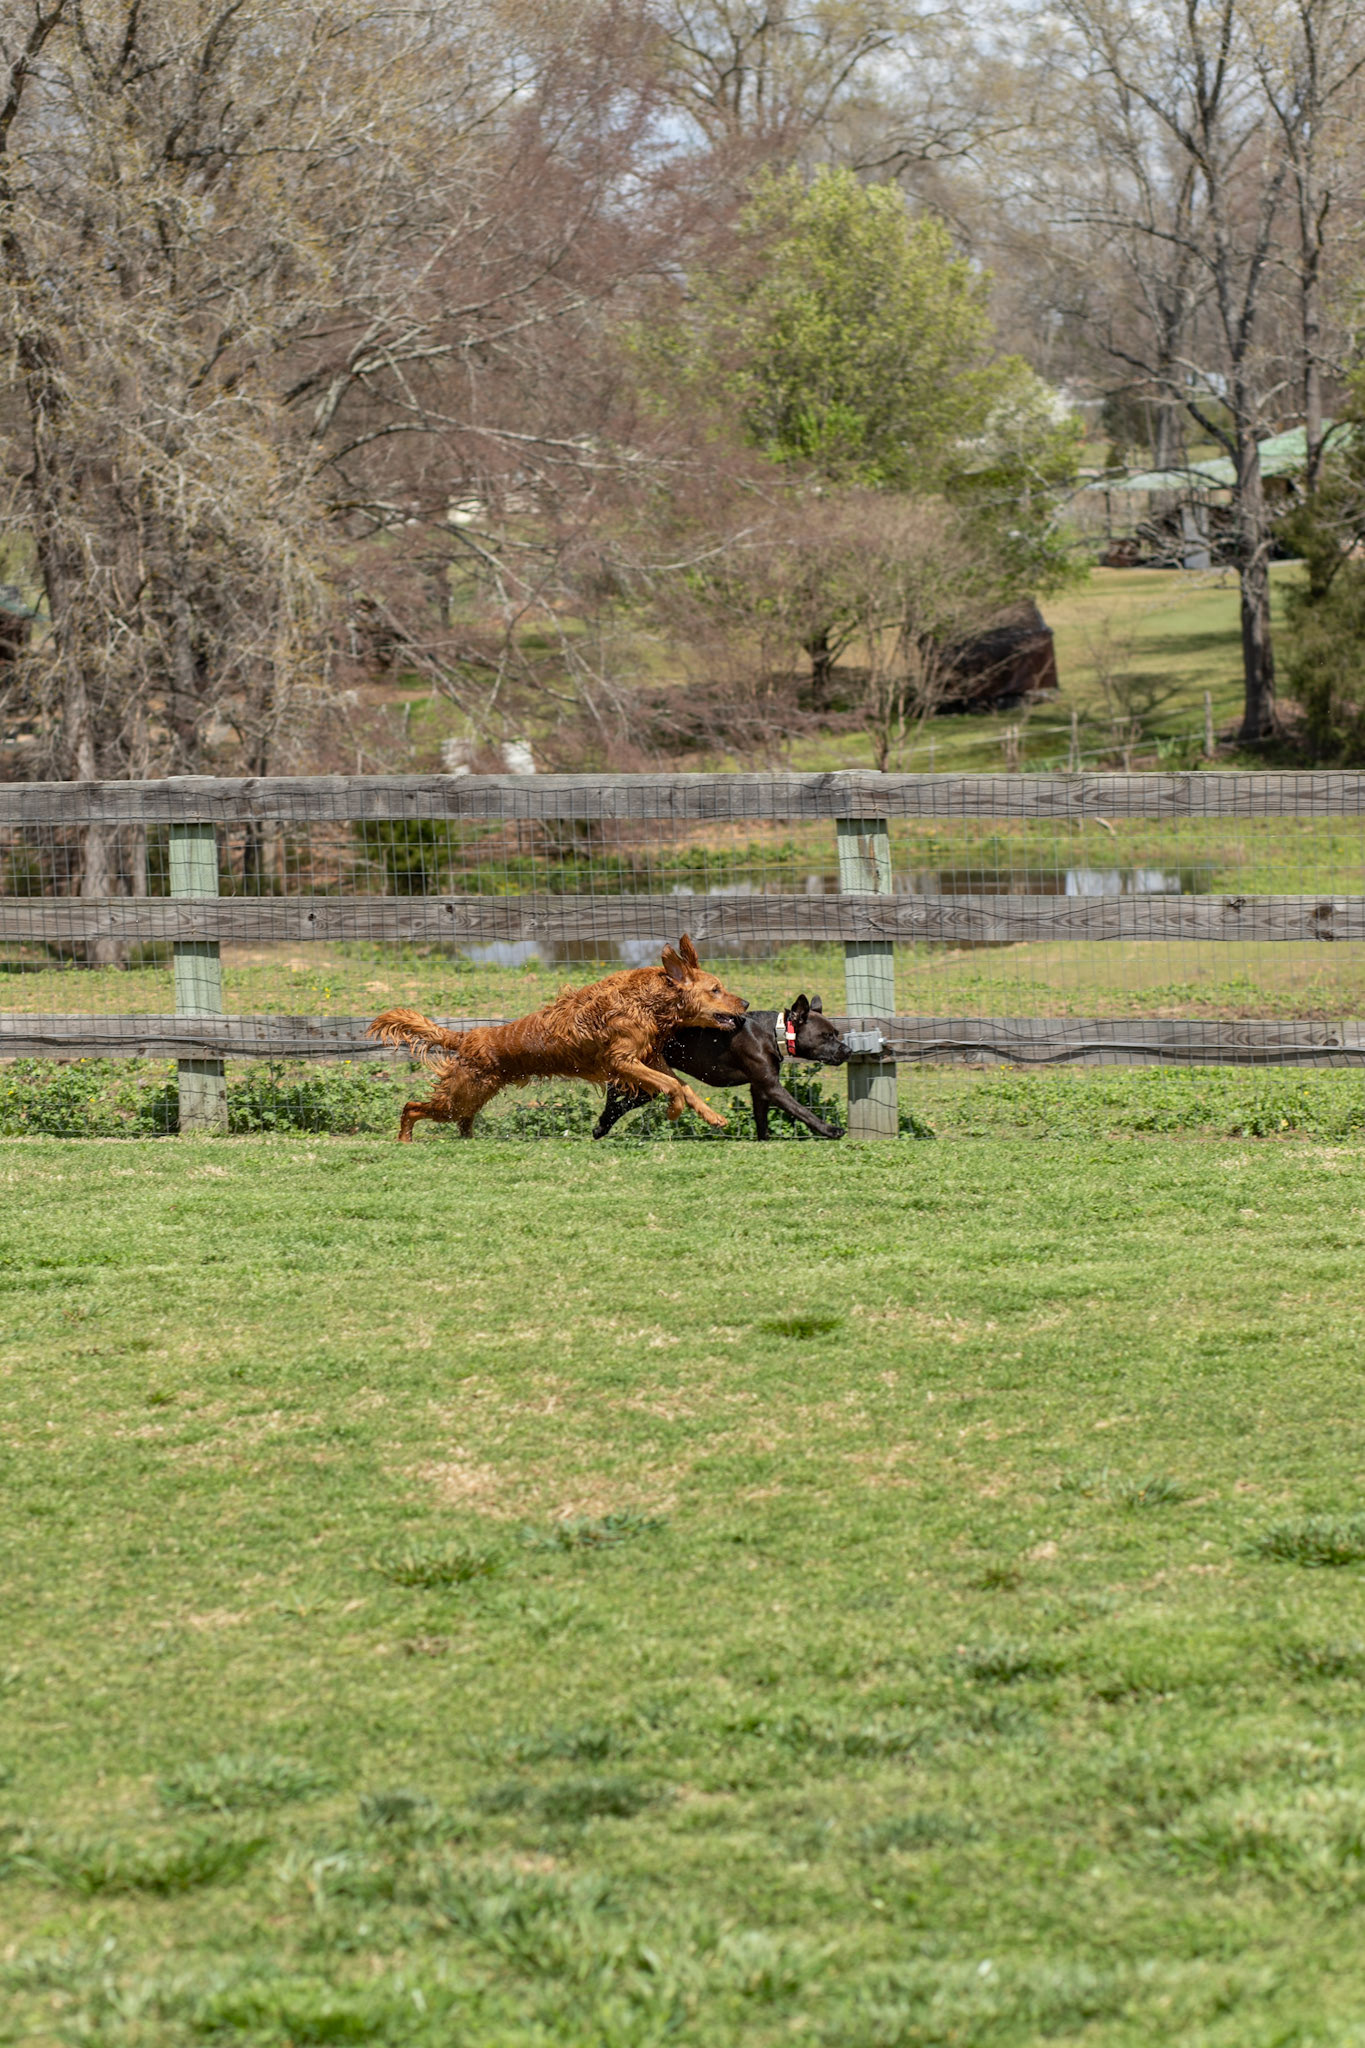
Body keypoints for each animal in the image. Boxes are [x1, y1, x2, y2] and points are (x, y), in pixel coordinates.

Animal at [368, 934, 748, 1141]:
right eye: (716, 989)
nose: (745, 1003)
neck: (649, 1001)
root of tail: (468, 1037)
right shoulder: (621, 1060)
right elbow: (672, 1088)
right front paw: (673, 1111)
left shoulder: (650, 1058)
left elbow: (682, 1086)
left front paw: (712, 1116)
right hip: (459, 1096)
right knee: (411, 1107)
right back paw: (404, 1139)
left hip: (471, 1097)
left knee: (460, 1122)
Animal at [592, 993, 847, 1142]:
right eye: (826, 1036)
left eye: (836, 1033)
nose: (848, 1050)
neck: (775, 1033)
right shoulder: (772, 1087)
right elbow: (803, 1111)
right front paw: (830, 1130)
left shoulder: (760, 1088)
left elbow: (761, 1118)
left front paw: (763, 1140)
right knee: (615, 1093)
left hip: (652, 1085)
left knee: (621, 1100)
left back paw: (601, 1127)